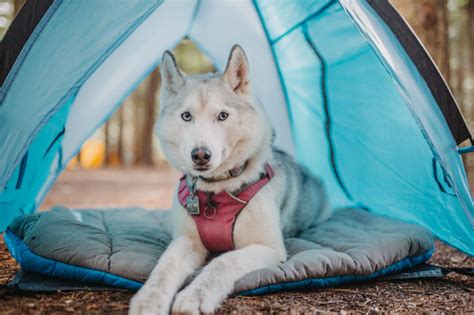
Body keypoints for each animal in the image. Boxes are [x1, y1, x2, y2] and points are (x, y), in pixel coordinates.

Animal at [130, 45, 330, 315]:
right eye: (186, 116)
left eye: (223, 115)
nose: (200, 155)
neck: (215, 191)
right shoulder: (187, 240)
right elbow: (165, 264)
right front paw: (149, 299)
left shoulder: (268, 248)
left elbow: (224, 261)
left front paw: (195, 295)